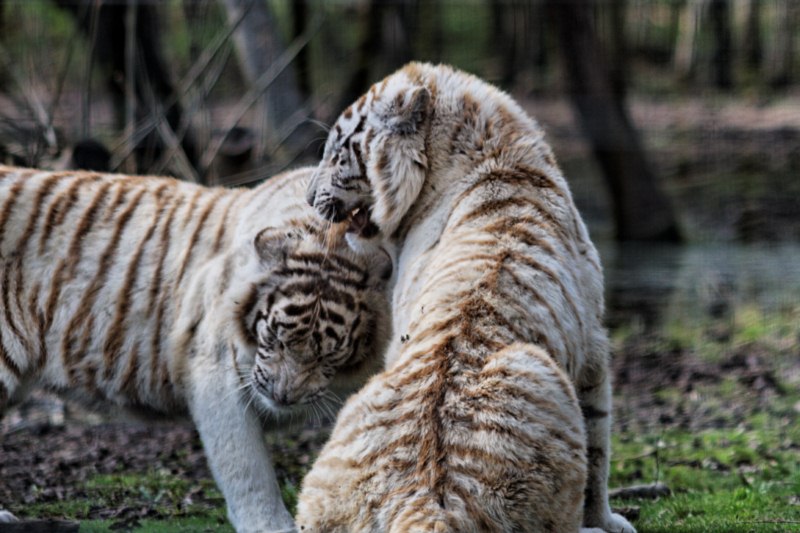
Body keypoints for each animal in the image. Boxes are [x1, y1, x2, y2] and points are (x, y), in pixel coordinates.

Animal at [0, 164, 394, 528]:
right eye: (274, 338)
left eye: (329, 356)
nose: (283, 396)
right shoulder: (215, 370)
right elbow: (246, 465)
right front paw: (271, 525)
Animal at [300, 63, 636, 532]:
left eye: (337, 154)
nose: (309, 198)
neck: (491, 154)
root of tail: (426, 502)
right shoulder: (594, 350)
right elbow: (598, 448)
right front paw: (606, 520)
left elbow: (599, 445)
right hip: (536, 367)